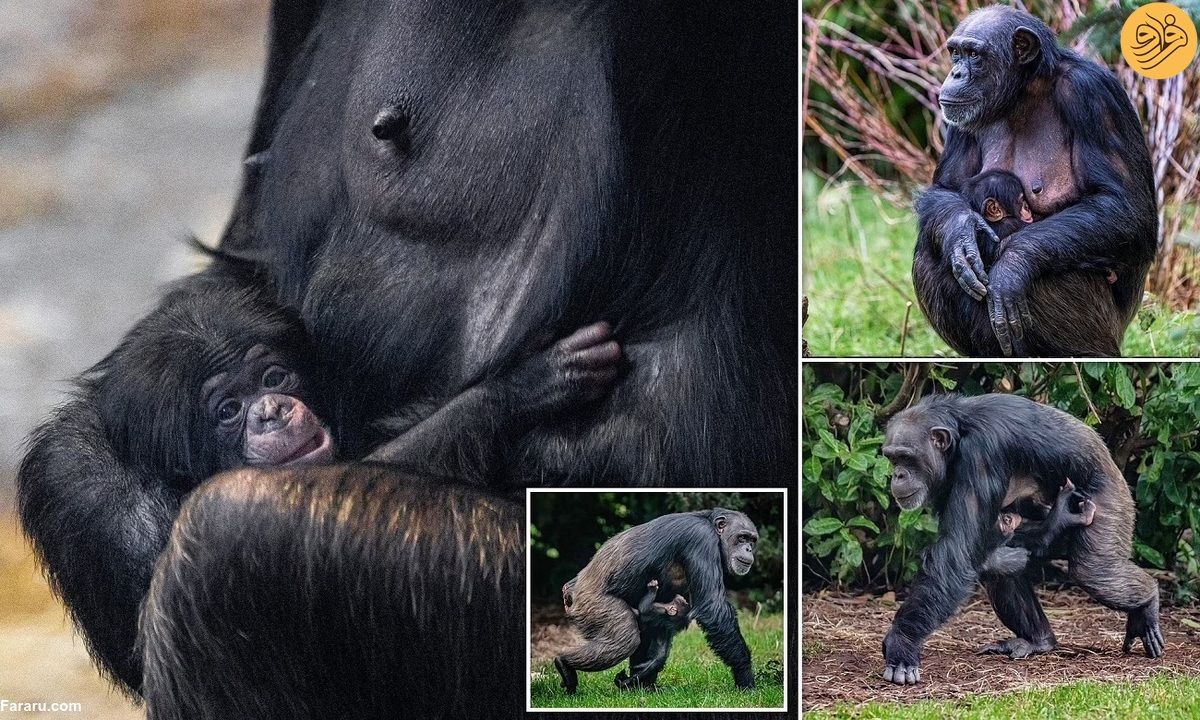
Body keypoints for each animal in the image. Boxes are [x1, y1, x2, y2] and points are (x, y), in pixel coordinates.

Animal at [554, 508, 758, 696]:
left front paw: (648, 668)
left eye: (752, 540)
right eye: (742, 538)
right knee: (625, 639)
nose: (748, 548)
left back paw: (641, 687)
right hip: (593, 604)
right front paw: (745, 676)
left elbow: (664, 624)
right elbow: (712, 606)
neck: (712, 529)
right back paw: (564, 664)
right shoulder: (701, 540)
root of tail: (570, 590)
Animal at [883, 393, 1161, 686]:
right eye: (892, 458)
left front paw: (902, 644)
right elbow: (970, 547)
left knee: (1095, 571)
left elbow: (956, 554)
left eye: (906, 457)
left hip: (1110, 500)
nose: (897, 475)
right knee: (1001, 560)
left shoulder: (982, 455)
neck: (958, 434)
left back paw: (1147, 604)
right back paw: (1039, 640)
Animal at [912, 5, 1156, 355]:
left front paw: (1012, 266)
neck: (1022, 96)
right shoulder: (959, 121)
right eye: (955, 53)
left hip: (1107, 328)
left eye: (974, 55)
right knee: (930, 252)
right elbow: (947, 189)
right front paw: (961, 231)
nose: (955, 74)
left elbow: (1125, 207)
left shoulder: (1094, 95)